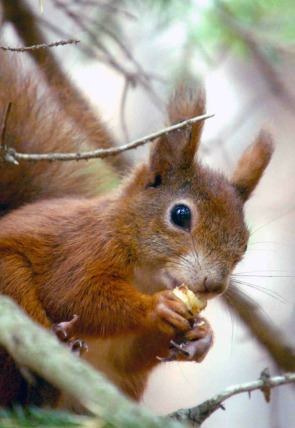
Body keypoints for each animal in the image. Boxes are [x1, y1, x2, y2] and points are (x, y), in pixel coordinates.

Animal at [0, 54, 274, 408]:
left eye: (245, 244)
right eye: (181, 215)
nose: (213, 286)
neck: (147, 277)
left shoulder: (124, 357)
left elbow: (134, 357)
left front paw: (202, 337)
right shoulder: (81, 251)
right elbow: (74, 294)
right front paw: (156, 307)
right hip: (8, 277)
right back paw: (58, 342)